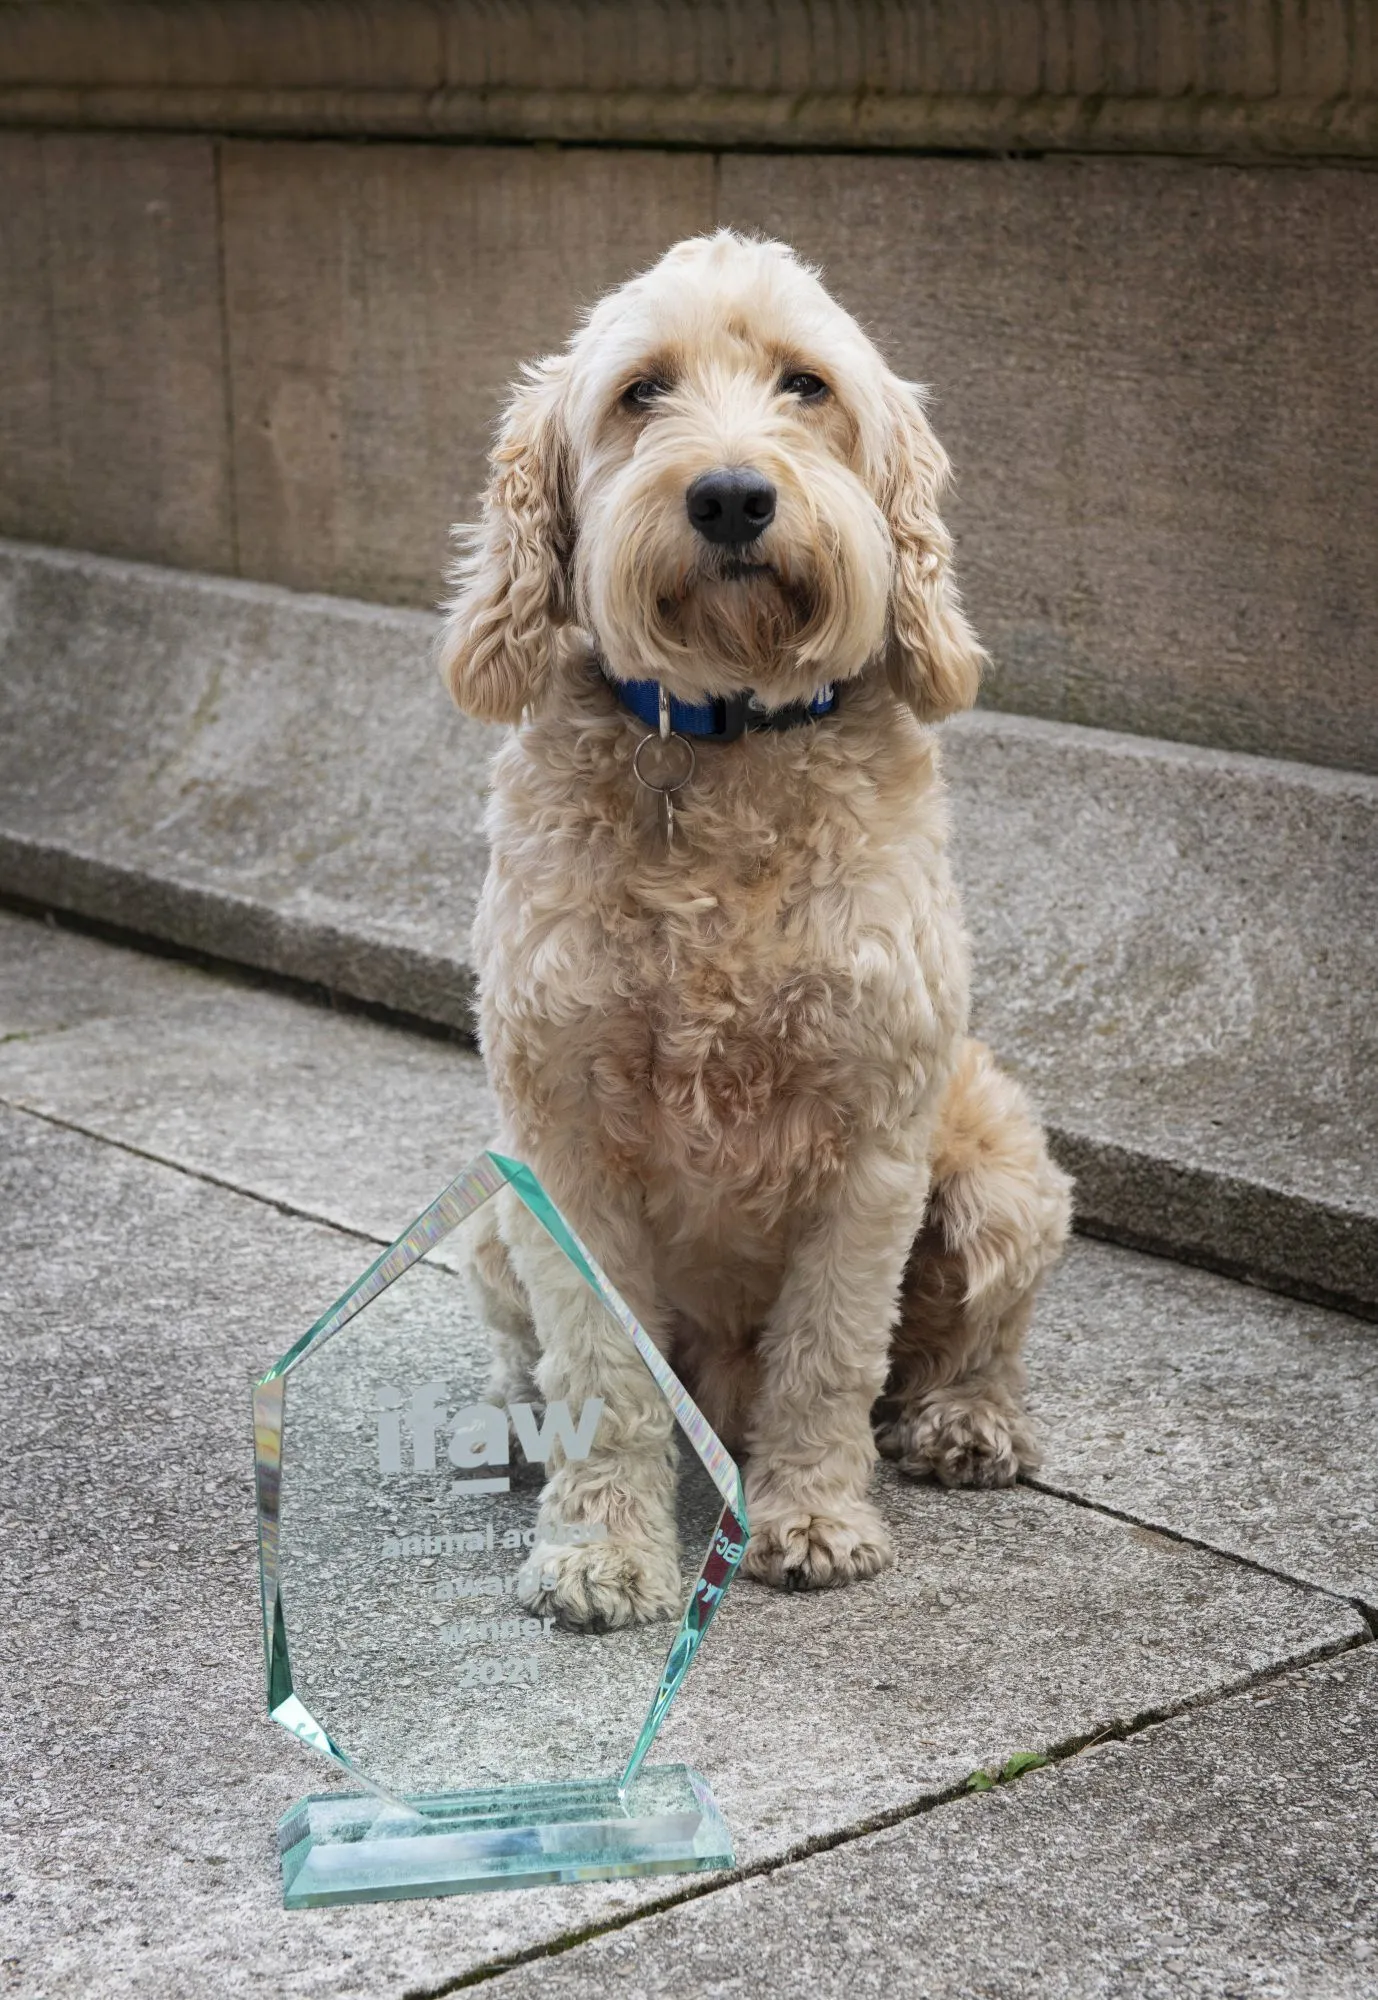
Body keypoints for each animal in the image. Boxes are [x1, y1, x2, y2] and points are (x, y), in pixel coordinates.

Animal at [438, 230, 1064, 1624]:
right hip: (490, 1213)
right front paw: (600, 1548)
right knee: (531, 1353)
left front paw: (813, 1516)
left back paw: (965, 1420)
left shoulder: (873, 1140)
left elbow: (829, 1351)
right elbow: (598, 1368)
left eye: (805, 385)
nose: (730, 496)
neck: (723, 738)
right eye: (642, 392)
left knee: (970, 1343)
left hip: (1004, 1175)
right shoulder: (560, 1139)